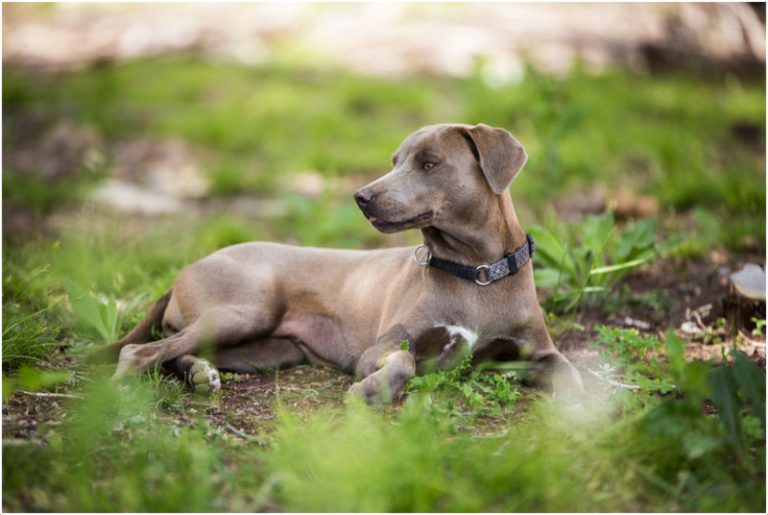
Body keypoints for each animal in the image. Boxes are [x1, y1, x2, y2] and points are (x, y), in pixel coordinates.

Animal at [111, 124, 584, 404]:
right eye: (395, 161)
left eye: (429, 163)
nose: (362, 197)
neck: (476, 274)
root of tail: (191, 266)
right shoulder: (380, 348)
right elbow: (404, 360)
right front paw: (372, 390)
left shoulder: (540, 352)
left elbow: (571, 374)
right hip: (244, 311)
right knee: (142, 351)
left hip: (266, 349)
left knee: (178, 353)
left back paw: (200, 374)